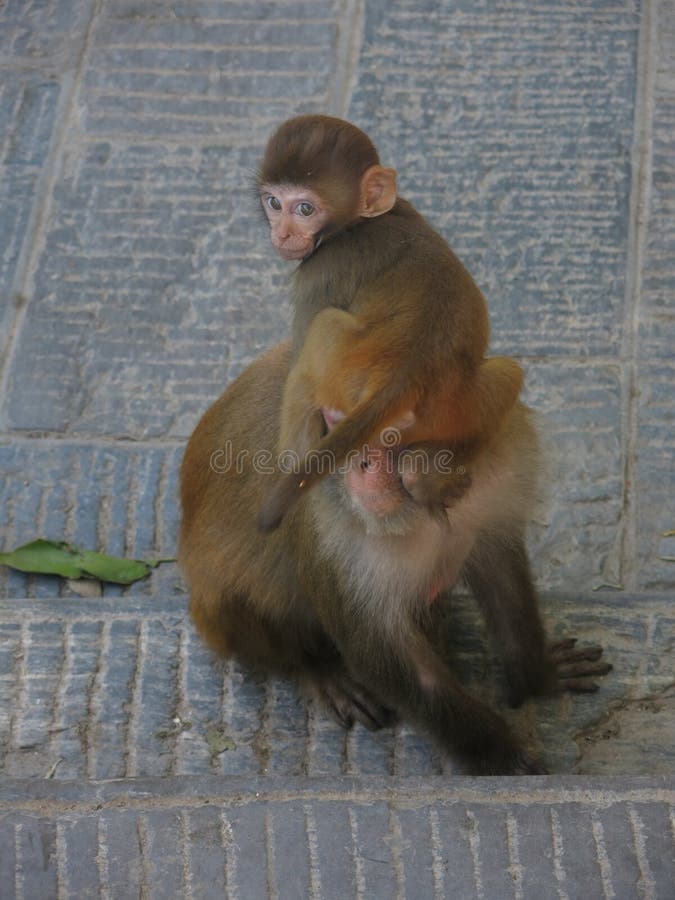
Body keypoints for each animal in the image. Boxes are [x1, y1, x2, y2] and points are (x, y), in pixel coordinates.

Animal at [180, 342, 612, 772]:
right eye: (340, 425)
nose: (359, 463)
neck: (430, 509)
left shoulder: (500, 472)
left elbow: (501, 574)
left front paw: (538, 675)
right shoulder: (330, 532)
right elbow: (386, 656)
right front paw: (503, 758)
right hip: (218, 614)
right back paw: (316, 668)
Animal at [258, 115, 528, 532]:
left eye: (304, 208)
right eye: (274, 202)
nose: (282, 233)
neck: (356, 223)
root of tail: (405, 375)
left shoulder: (320, 272)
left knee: (323, 331)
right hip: (454, 408)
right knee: (507, 374)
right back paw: (425, 479)